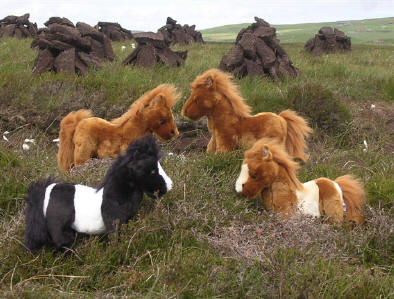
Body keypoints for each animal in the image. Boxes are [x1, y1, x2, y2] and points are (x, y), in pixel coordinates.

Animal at [24, 136, 172, 253]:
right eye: (152, 170)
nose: (169, 186)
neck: (115, 197)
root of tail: (46, 192)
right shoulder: (114, 222)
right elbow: (115, 238)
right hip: (59, 228)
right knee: (63, 243)